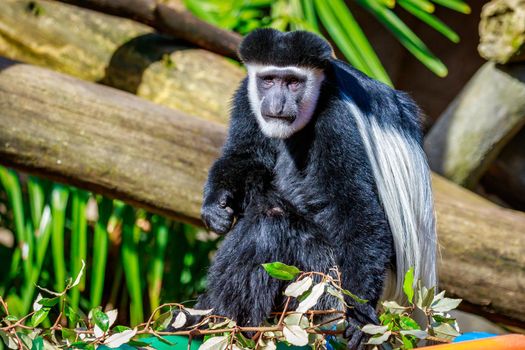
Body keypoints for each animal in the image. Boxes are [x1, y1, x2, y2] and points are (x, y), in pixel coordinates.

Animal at [194, 28, 436, 348]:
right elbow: (244, 154)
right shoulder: (247, 96)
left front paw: (359, 319)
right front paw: (215, 205)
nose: (277, 105)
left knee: (273, 223)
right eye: (268, 80)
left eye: (294, 82)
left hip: (322, 282)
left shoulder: (336, 122)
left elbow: (355, 210)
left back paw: (224, 324)